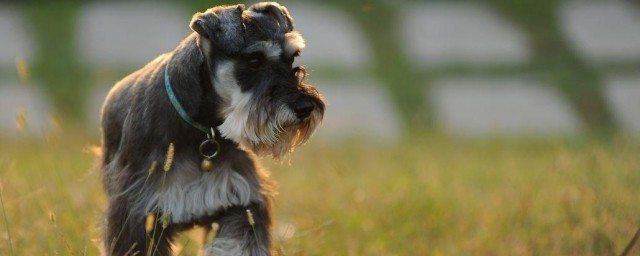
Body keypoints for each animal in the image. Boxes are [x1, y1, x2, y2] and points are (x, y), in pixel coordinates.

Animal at [99, 2, 324, 256]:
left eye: (292, 58)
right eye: (254, 60)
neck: (202, 129)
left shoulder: (241, 203)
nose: (305, 107)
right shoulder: (138, 213)